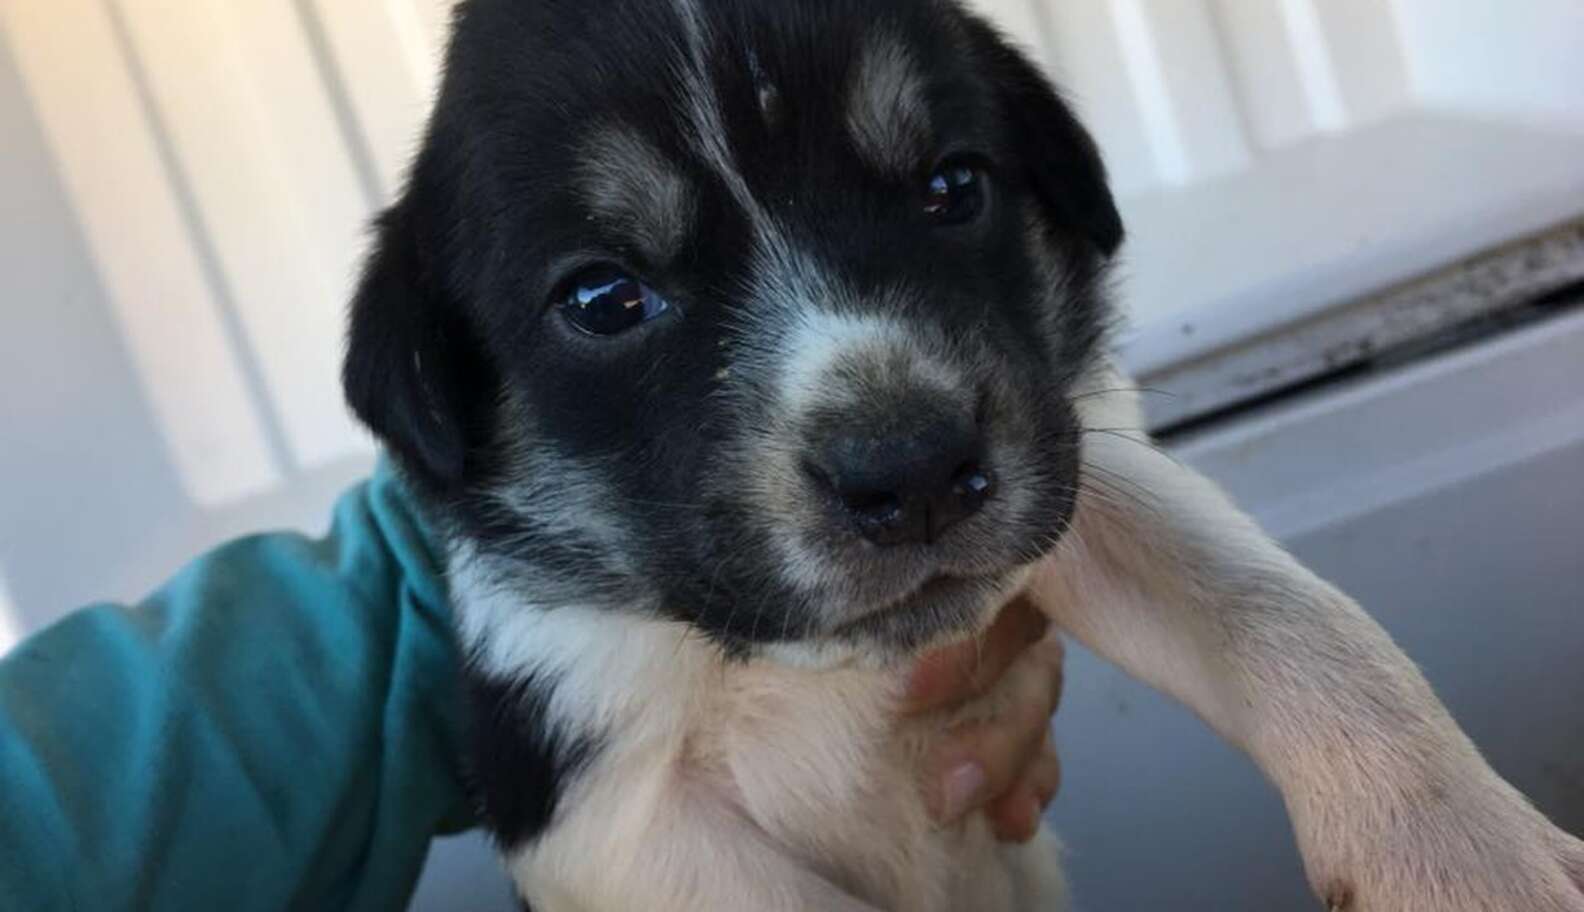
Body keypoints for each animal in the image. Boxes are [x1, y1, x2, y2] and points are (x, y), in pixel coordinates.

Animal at [346, 1, 1584, 912]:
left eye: (953, 187)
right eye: (602, 298)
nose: (910, 473)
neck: (797, 671)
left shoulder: (1078, 469)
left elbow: (1292, 621)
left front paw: (1471, 863)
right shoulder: (596, 790)